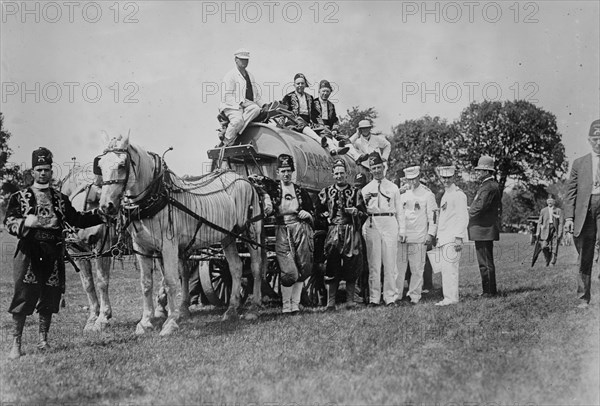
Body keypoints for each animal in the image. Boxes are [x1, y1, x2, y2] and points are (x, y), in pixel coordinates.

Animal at [95, 134, 262, 336]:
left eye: (121, 165)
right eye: (100, 165)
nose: (106, 206)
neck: (155, 198)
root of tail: (243, 178)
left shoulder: (169, 246)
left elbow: (171, 281)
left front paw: (171, 322)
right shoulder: (142, 247)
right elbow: (146, 283)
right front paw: (145, 322)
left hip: (251, 231)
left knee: (255, 266)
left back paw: (255, 307)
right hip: (227, 236)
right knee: (236, 267)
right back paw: (231, 310)